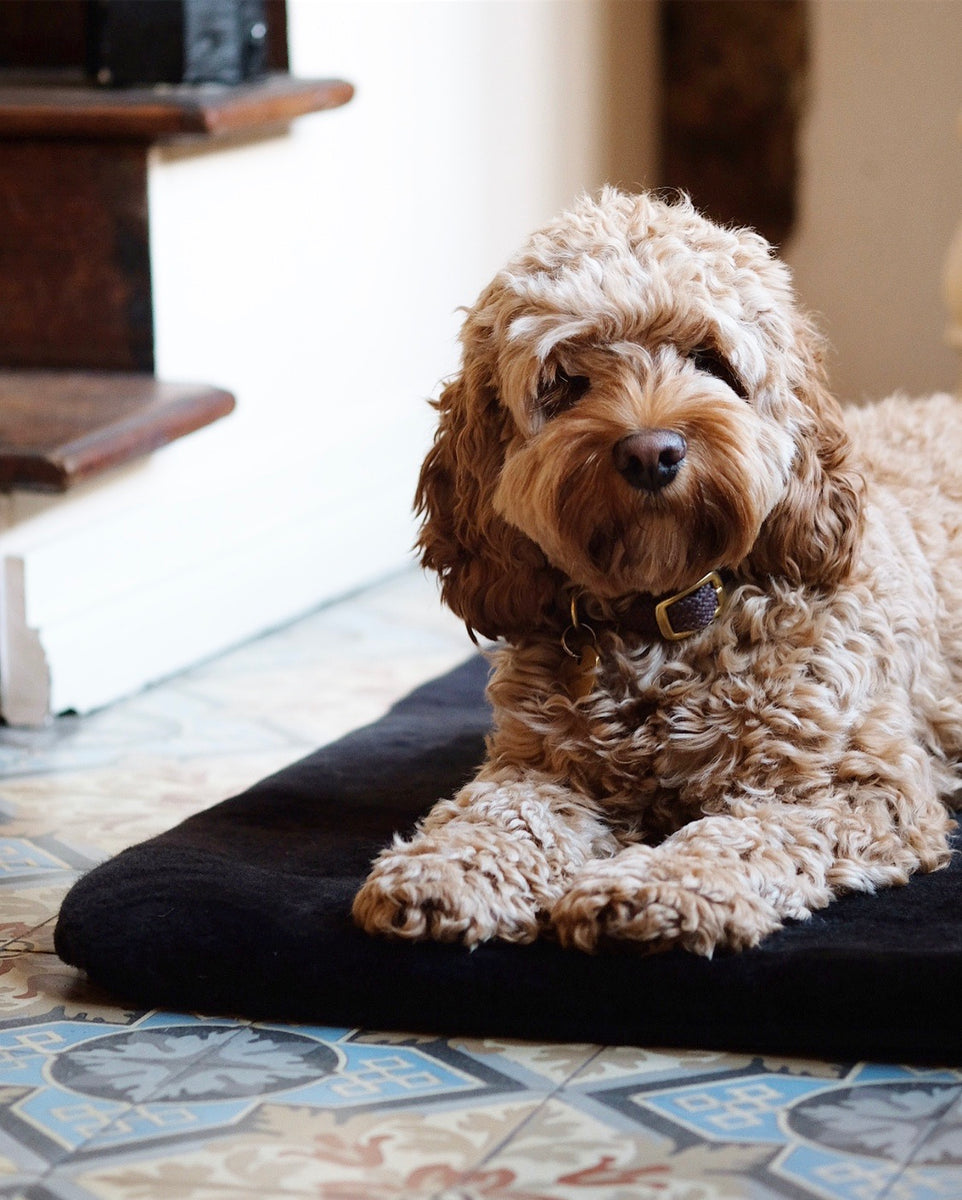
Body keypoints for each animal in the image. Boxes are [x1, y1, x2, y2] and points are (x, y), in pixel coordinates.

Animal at [350, 187, 959, 955]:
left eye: (710, 361)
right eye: (566, 381)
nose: (651, 452)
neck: (671, 613)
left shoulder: (855, 787)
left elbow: (741, 836)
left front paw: (656, 887)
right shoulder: (543, 766)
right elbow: (501, 812)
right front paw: (443, 868)